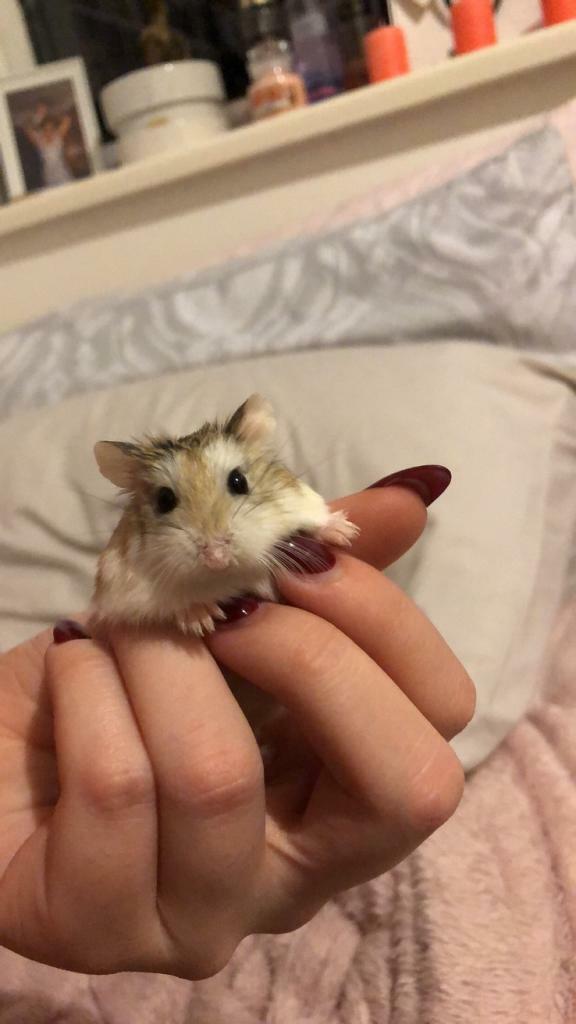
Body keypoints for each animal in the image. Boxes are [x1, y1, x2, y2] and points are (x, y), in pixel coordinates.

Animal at [91, 394, 358, 637]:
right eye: (164, 499)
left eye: (238, 481)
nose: (216, 558)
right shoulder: (120, 590)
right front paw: (201, 619)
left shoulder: (300, 500)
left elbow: (316, 517)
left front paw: (346, 532)